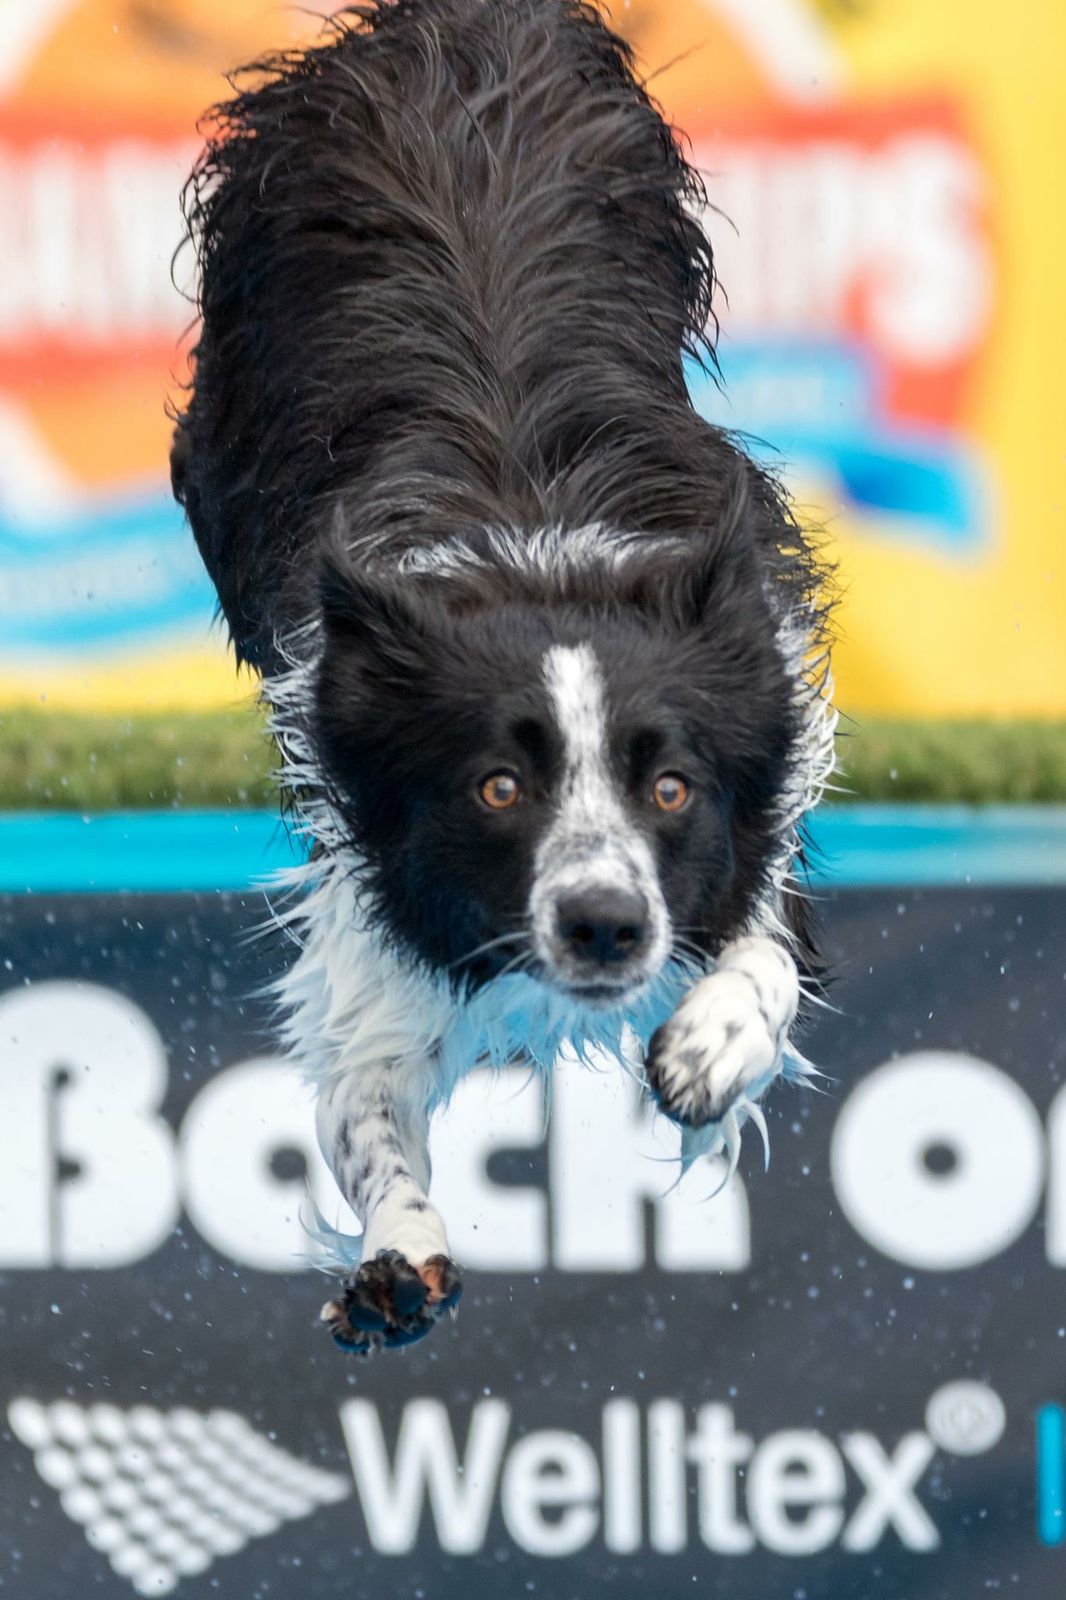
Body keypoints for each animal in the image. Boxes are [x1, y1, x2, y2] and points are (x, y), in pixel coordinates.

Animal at [171, 0, 835, 1354]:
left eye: (670, 786)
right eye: (495, 787)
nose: (605, 925)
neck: (544, 559)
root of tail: (445, 24)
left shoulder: (761, 797)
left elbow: (764, 956)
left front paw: (707, 1045)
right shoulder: (371, 886)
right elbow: (368, 1102)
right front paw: (398, 1252)